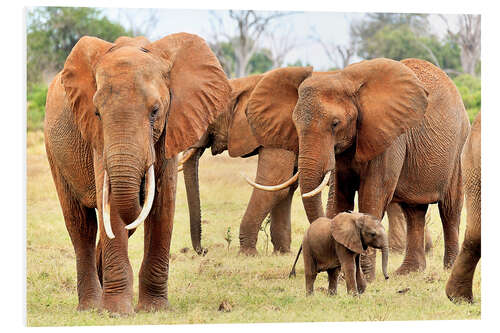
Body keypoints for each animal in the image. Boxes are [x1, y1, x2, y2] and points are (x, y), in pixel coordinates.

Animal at [43, 33, 230, 314]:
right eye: (97, 113)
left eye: (155, 111)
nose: (205, 251)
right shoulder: (98, 139)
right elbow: (112, 205)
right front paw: (116, 312)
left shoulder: (170, 128)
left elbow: (163, 206)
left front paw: (154, 309)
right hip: (53, 150)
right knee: (81, 225)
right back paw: (90, 306)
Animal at [177, 70, 300, 254]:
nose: (204, 251)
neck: (246, 84)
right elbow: (286, 187)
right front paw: (282, 253)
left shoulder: (278, 131)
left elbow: (273, 184)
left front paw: (247, 254)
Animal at [248, 58, 470, 274]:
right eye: (295, 124)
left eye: (335, 124)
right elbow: (340, 195)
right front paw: (342, 272)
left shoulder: (388, 138)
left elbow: (372, 195)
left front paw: (365, 275)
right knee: (414, 211)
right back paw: (409, 272)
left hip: (458, 147)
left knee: (450, 208)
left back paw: (449, 268)